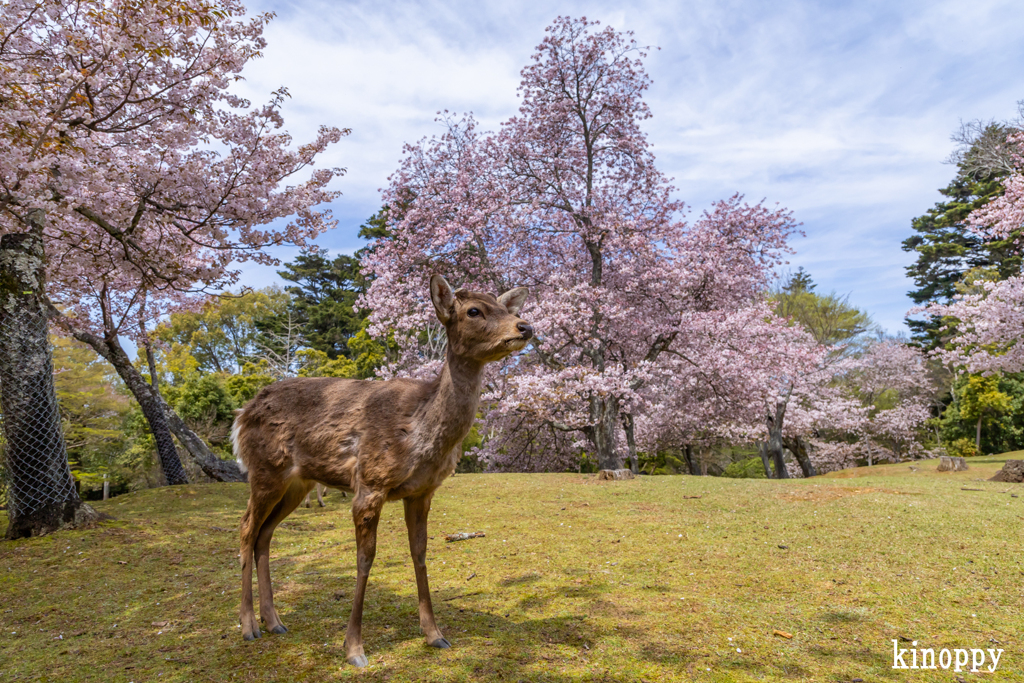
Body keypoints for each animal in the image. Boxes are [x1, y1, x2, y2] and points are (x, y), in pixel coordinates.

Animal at [233, 274, 536, 667]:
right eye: (474, 311)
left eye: (505, 307)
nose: (525, 326)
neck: (420, 432)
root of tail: (241, 415)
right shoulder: (369, 483)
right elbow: (365, 559)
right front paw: (354, 649)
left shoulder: (422, 491)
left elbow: (419, 553)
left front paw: (435, 635)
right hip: (264, 469)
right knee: (245, 528)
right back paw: (249, 626)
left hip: (297, 484)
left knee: (264, 535)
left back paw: (275, 622)